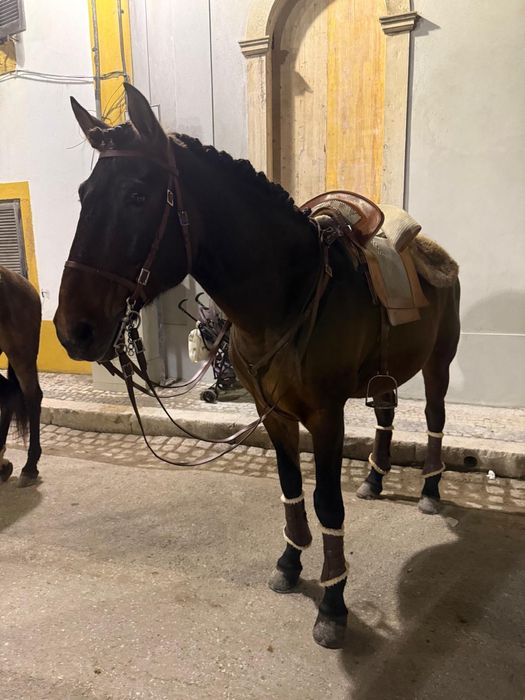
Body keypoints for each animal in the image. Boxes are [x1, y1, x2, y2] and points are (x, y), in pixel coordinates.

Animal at [54, 83, 460, 649]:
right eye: (84, 194)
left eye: (137, 195)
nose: (73, 328)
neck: (286, 295)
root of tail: (429, 246)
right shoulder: (272, 412)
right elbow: (290, 487)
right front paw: (290, 563)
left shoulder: (326, 416)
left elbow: (327, 503)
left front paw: (333, 602)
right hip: (384, 375)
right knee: (385, 415)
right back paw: (376, 480)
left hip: (439, 364)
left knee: (435, 420)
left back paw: (429, 489)